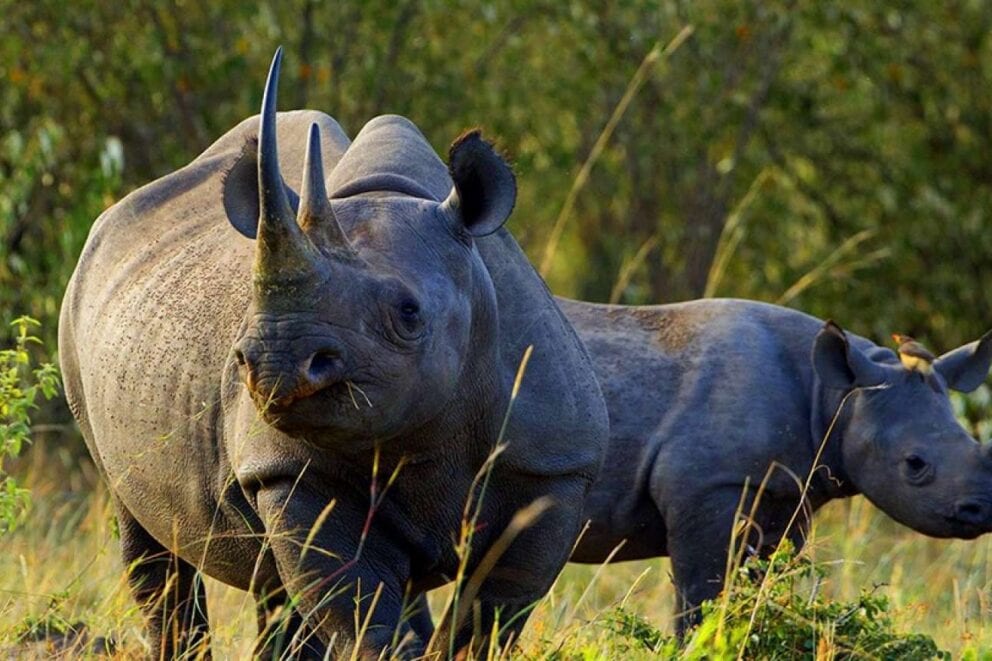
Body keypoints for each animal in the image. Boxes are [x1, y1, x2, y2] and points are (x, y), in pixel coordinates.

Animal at [59, 50, 608, 658]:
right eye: (246, 317)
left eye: (408, 312)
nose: (276, 362)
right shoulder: (291, 472)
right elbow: (357, 611)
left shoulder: (554, 469)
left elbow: (488, 618)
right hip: (78, 325)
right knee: (151, 540)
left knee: (274, 588)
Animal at [561, 298, 992, 635]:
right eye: (914, 464)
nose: (983, 510)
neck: (835, 396)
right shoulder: (708, 486)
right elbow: (700, 600)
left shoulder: (787, 494)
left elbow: (753, 592)